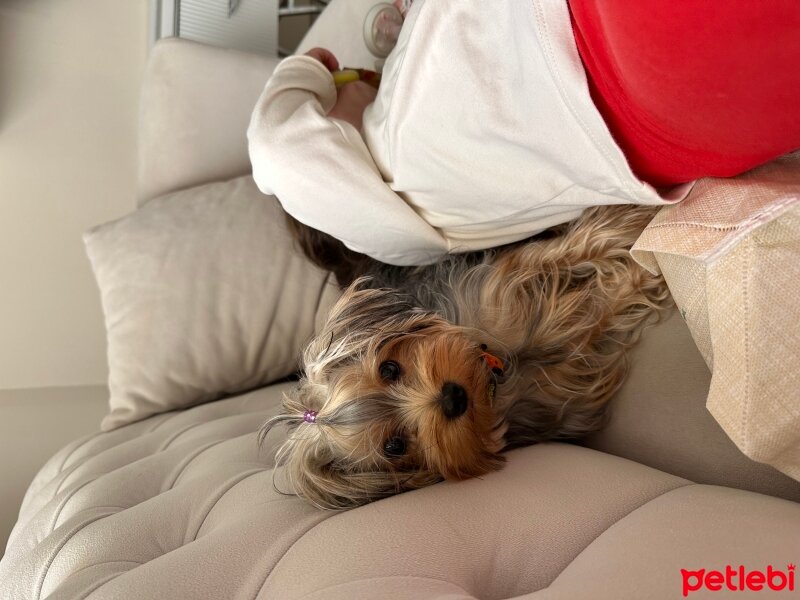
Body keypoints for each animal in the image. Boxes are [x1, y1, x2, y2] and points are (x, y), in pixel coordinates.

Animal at [260, 205, 668, 506]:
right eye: (394, 446)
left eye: (389, 368)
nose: (453, 397)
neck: (495, 375)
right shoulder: (563, 378)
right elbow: (603, 308)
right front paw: (641, 274)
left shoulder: (497, 286)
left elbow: (575, 247)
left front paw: (641, 224)